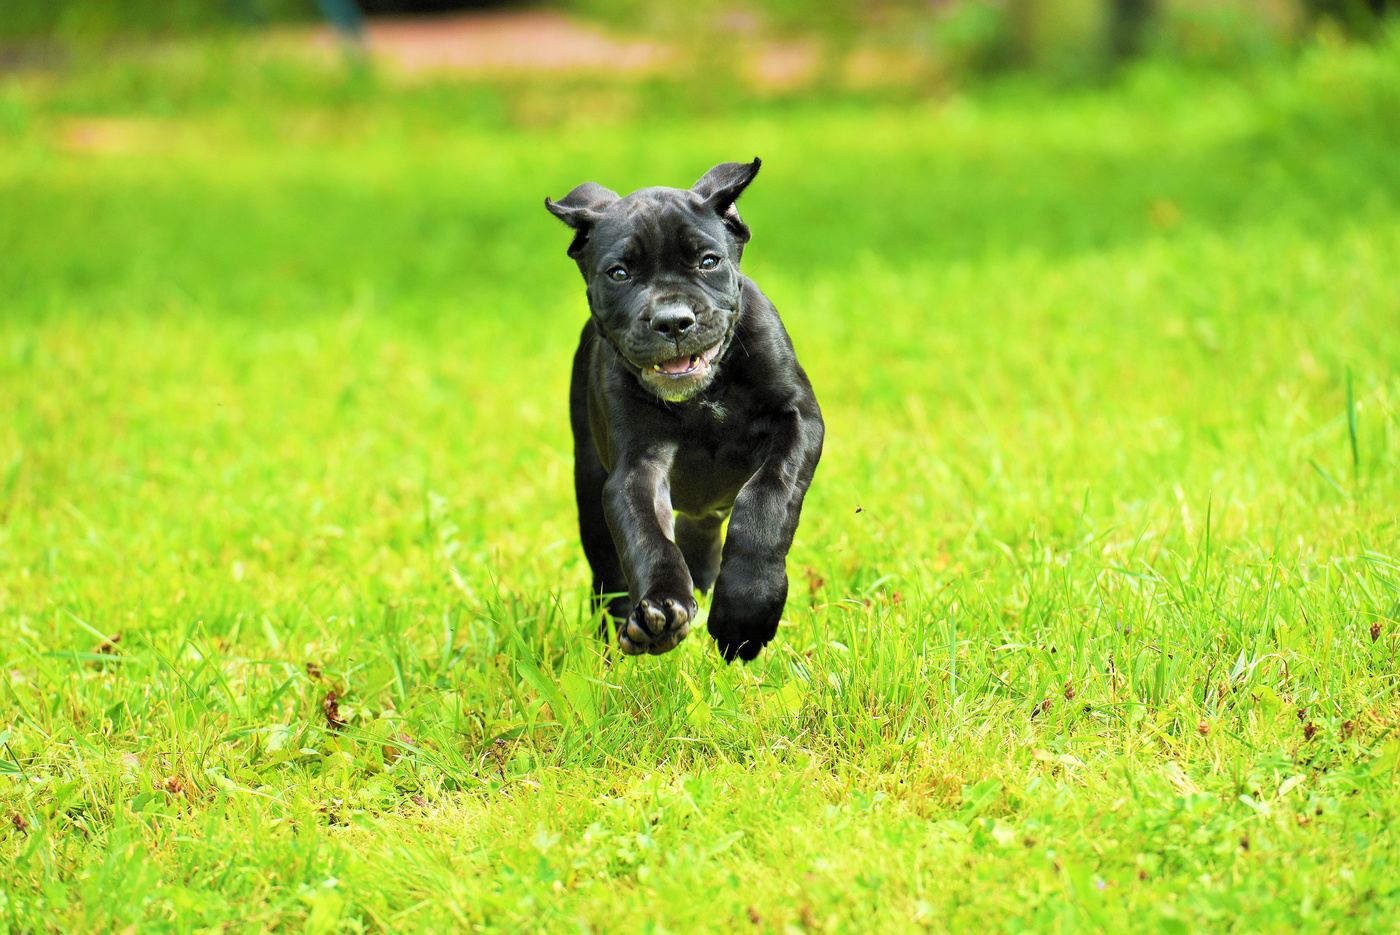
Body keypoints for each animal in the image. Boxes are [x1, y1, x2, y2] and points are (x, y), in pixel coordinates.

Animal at [543, 158, 817, 657]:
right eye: (618, 273)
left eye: (709, 262)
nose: (673, 321)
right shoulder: (637, 466)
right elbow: (648, 537)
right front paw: (661, 610)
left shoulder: (798, 419)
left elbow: (767, 500)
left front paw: (745, 614)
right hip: (589, 485)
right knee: (609, 573)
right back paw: (618, 631)